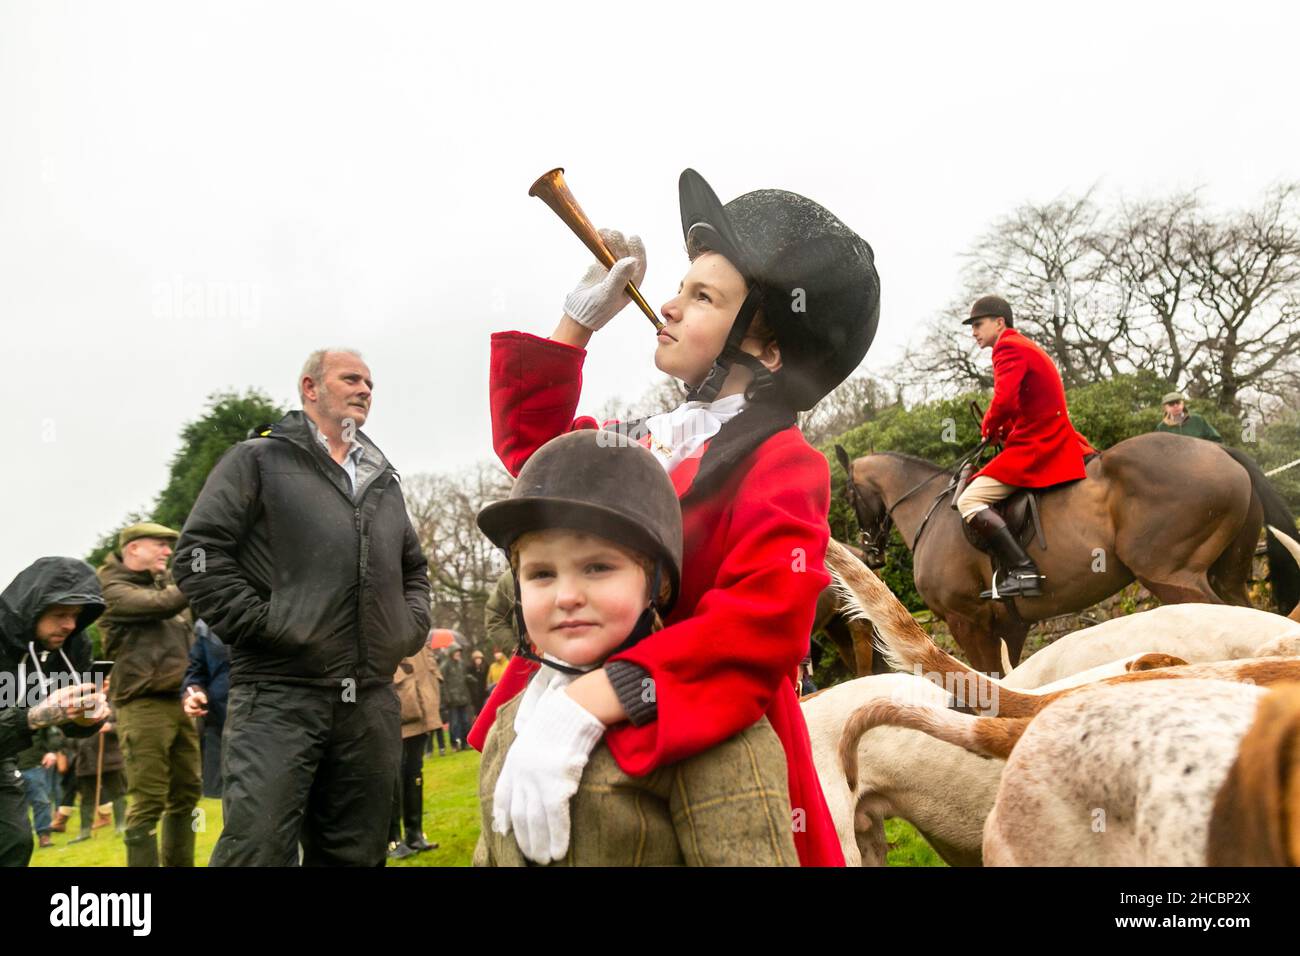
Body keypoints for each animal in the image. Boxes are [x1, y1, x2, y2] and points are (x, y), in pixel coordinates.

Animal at [837, 434, 1294, 671]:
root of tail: (1219, 450)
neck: (929, 508)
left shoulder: (966, 619)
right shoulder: (1010, 624)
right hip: (1227, 574)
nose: (871, 554)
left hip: (1173, 576)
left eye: (847, 494)